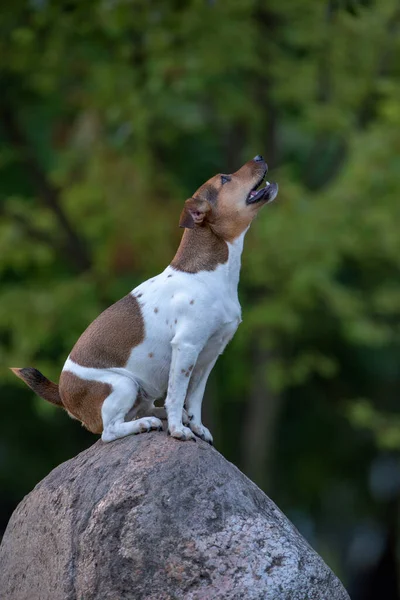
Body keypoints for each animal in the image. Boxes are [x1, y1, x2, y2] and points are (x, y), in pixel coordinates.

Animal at [10, 156, 278, 446]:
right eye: (225, 179)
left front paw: (196, 426)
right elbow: (177, 396)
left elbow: (194, 399)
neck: (209, 273)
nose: (259, 157)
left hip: (141, 389)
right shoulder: (186, 347)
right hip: (124, 386)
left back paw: (158, 416)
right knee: (110, 431)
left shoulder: (209, 355)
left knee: (144, 409)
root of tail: (61, 392)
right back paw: (145, 424)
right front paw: (178, 430)